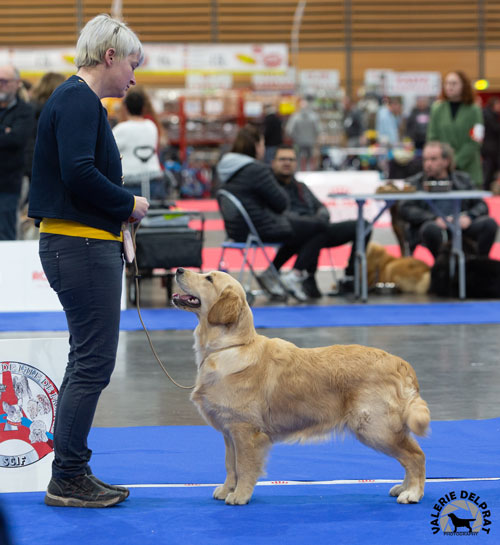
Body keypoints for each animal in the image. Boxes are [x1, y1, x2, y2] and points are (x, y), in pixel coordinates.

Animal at [172, 268, 430, 506]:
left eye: (209, 278)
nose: (178, 270)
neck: (230, 347)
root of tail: (401, 364)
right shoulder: (229, 431)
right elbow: (230, 465)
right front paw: (227, 489)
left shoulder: (245, 430)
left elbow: (244, 466)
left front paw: (240, 495)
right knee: (410, 455)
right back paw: (403, 487)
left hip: (375, 428)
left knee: (416, 456)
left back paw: (412, 493)